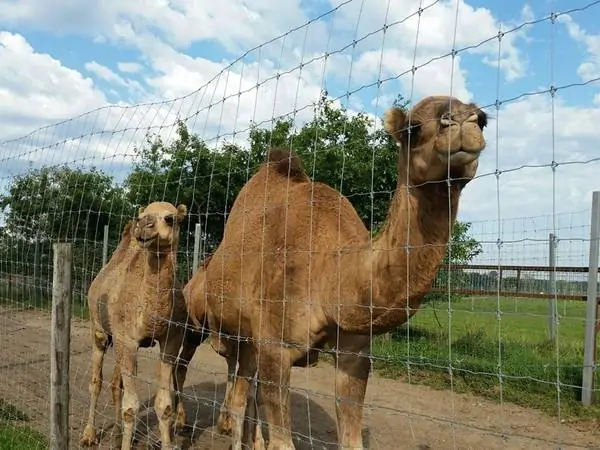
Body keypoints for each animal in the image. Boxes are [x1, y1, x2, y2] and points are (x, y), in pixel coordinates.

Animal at [79, 202, 204, 448]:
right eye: (142, 215)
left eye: (170, 218)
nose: (143, 226)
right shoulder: (128, 341)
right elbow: (131, 407)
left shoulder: (171, 340)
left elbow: (164, 405)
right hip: (99, 330)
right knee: (96, 381)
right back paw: (89, 435)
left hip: (117, 340)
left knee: (116, 384)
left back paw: (117, 435)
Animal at [186, 94, 488, 446]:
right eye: (412, 127)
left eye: (483, 120)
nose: (464, 122)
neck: (330, 272)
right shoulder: (275, 347)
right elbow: (281, 438)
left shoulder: (355, 352)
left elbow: (351, 436)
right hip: (225, 332)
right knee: (237, 391)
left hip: (246, 341)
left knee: (243, 390)